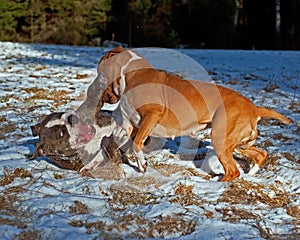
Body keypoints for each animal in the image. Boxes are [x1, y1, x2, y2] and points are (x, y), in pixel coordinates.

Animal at [98, 46, 290, 182]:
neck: (131, 74)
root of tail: (254, 108)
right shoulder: (133, 124)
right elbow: (123, 138)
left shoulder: (152, 115)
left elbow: (138, 142)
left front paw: (142, 163)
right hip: (240, 143)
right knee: (260, 154)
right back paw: (251, 174)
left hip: (220, 139)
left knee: (233, 171)